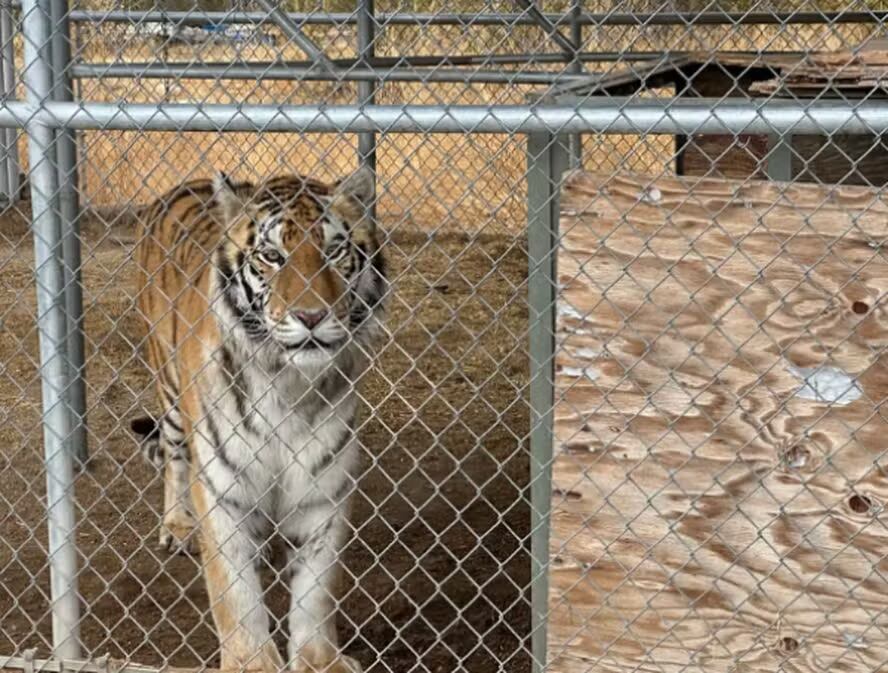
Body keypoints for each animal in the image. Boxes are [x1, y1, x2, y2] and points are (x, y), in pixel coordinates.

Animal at [129, 168, 386, 673]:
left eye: (334, 251)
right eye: (272, 256)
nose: (311, 316)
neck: (287, 384)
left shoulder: (323, 491)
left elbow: (316, 591)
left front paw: (319, 661)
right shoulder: (220, 489)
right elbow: (235, 593)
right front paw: (251, 662)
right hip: (169, 391)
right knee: (174, 458)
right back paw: (179, 526)